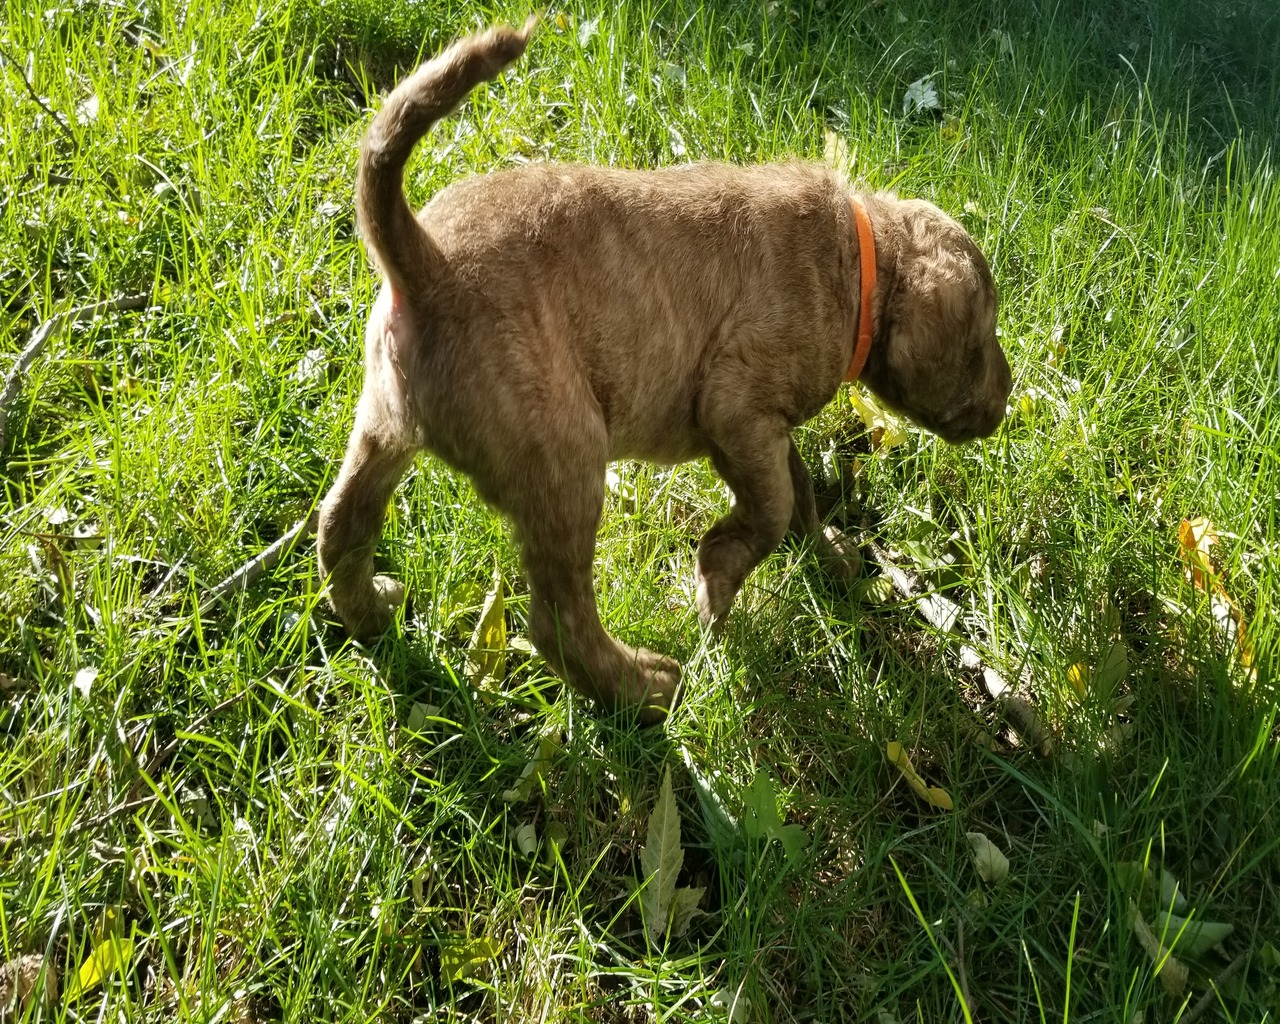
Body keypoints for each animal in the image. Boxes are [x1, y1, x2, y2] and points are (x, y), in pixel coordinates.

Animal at [317, 22, 1008, 721]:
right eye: (986, 334)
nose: (1008, 398)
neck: (860, 261)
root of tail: (425, 265)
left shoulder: (764, 427)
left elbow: (798, 490)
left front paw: (824, 551)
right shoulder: (737, 406)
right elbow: (774, 506)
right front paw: (719, 578)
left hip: (385, 428)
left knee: (340, 525)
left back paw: (372, 613)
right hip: (566, 459)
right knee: (557, 620)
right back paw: (643, 691)